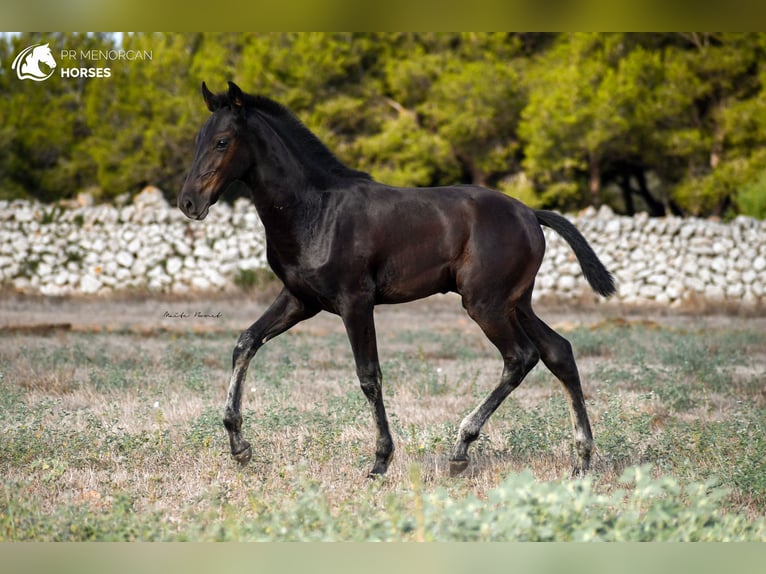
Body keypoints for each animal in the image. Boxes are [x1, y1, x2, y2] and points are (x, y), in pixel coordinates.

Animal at [177, 80, 616, 476]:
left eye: (222, 142)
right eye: (198, 139)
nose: (189, 203)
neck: (315, 210)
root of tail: (530, 214)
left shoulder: (355, 301)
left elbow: (369, 376)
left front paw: (380, 460)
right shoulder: (300, 299)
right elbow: (245, 343)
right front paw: (239, 447)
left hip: (485, 304)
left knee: (520, 357)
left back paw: (461, 449)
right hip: (516, 303)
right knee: (559, 352)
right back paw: (582, 460)